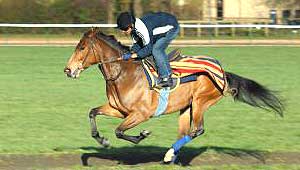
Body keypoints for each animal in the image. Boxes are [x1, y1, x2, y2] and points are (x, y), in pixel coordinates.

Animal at [63, 28, 284, 164]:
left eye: (82, 47)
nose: (68, 70)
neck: (123, 73)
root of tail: (222, 72)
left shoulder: (141, 114)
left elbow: (119, 131)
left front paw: (142, 135)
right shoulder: (118, 110)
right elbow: (92, 113)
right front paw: (102, 141)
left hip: (200, 102)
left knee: (197, 130)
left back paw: (170, 154)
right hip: (186, 107)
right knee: (185, 132)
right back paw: (172, 156)